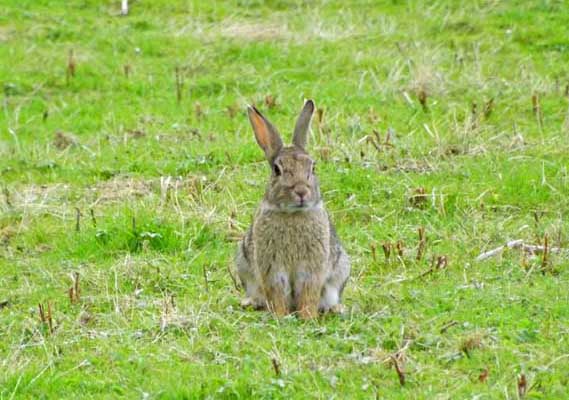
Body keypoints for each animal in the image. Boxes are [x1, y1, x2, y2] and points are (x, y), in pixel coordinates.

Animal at [233, 100, 348, 318]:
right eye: (277, 170)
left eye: (313, 168)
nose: (301, 191)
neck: (293, 214)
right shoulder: (272, 268)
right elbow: (277, 292)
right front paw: (280, 316)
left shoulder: (312, 268)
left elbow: (309, 292)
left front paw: (308, 317)